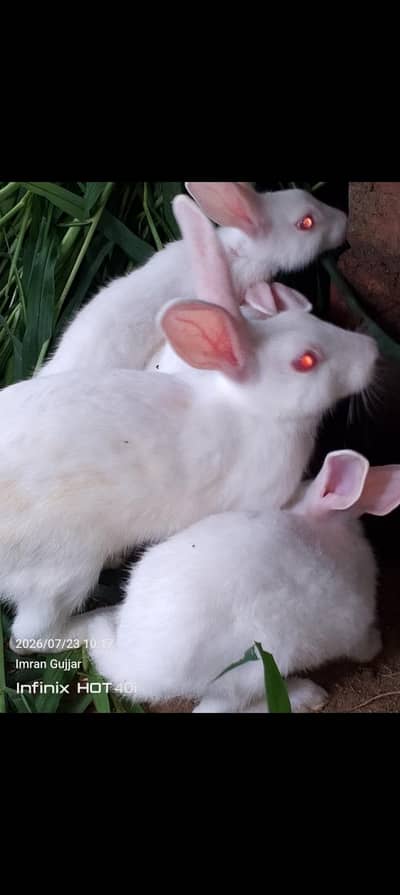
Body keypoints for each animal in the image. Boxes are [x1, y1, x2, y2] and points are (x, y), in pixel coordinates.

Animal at [65, 450, 400, 713]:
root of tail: (141, 667)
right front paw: (376, 643)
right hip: (255, 665)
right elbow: (362, 647)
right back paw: (306, 695)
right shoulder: (352, 627)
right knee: (215, 709)